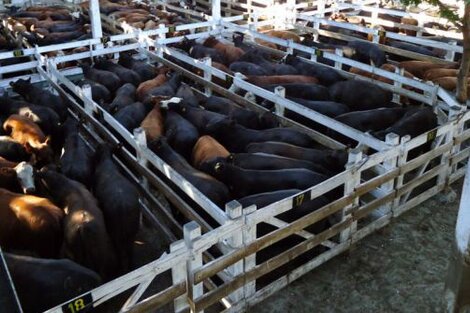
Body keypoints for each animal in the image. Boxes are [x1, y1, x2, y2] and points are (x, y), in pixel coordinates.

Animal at [92, 144, 140, 272]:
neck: (106, 160)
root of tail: (123, 206)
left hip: (115, 233)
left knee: (119, 251)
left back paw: (120, 268)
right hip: (132, 232)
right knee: (130, 251)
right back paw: (132, 267)